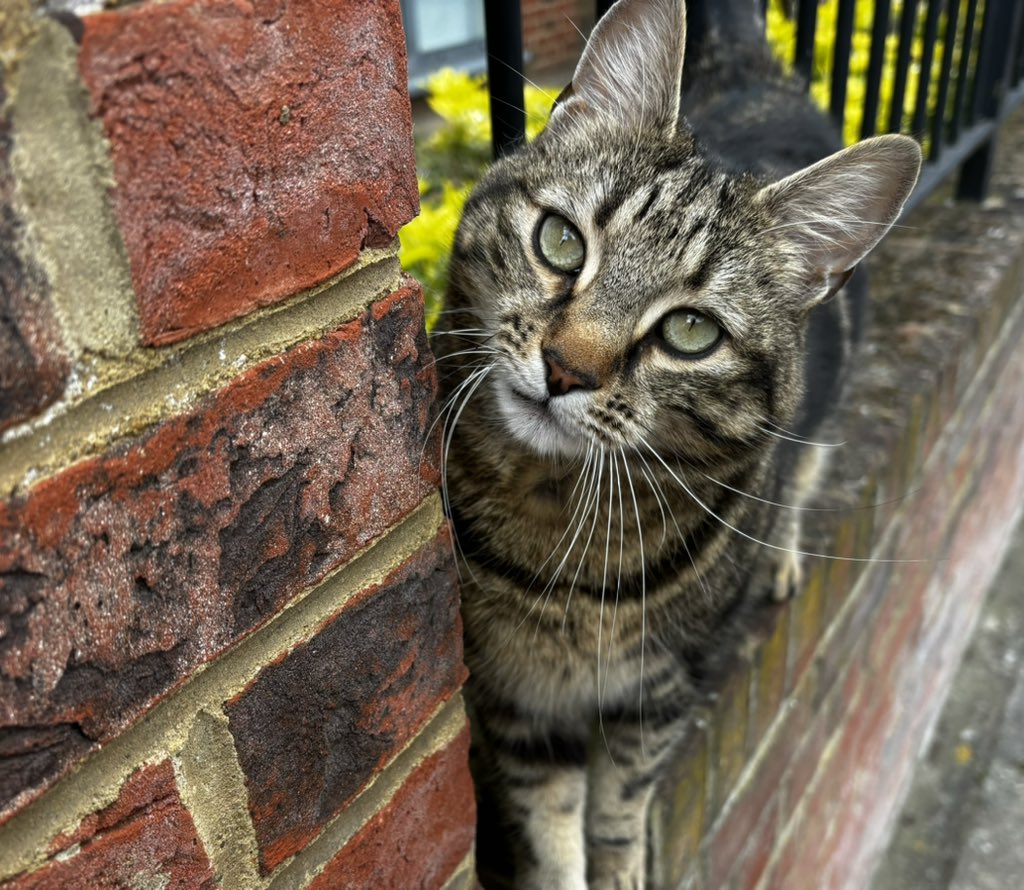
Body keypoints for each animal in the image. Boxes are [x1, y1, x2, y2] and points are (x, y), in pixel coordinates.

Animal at [432, 0, 921, 884]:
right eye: (560, 241)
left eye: (691, 332)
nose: (564, 368)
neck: (557, 521)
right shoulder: (512, 698)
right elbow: (549, 823)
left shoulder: (659, 692)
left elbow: (621, 803)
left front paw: (622, 864)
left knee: (804, 476)